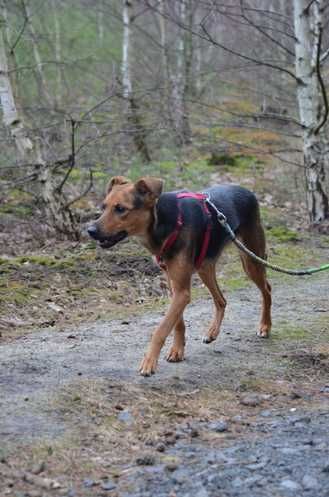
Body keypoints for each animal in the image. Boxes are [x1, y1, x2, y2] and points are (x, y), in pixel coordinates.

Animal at [86, 176, 270, 374]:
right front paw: (177, 350)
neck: (165, 223)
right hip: (205, 267)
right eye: (103, 206)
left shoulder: (182, 292)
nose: (90, 230)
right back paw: (212, 333)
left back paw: (265, 326)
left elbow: (161, 329)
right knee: (221, 300)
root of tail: (247, 191)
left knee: (266, 289)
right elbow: (177, 323)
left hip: (250, 260)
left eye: (120, 208)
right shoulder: (174, 284)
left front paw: (149, 362)